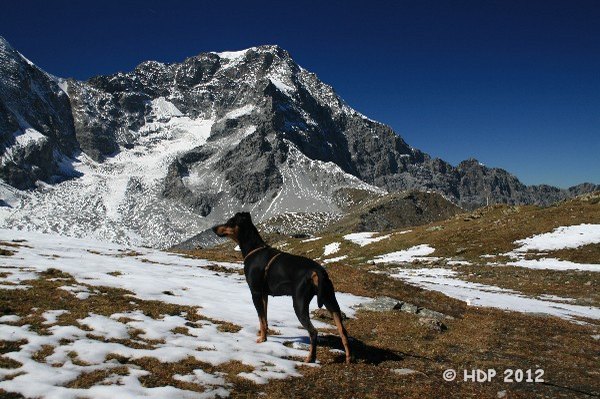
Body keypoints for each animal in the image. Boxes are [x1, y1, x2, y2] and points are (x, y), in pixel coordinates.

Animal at [212, 212, 350, 366]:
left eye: (230, 222)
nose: (213, 228)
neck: (253, 249)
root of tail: (317, 271)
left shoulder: (255, 293)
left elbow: (261, 318)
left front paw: (262, 340)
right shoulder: (264, 295)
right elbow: (264, 319)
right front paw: (264, 336)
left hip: (299, 303)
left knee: (313, 332)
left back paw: (310, 358)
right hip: (330, 300)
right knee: (343, 331)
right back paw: (349, 358)